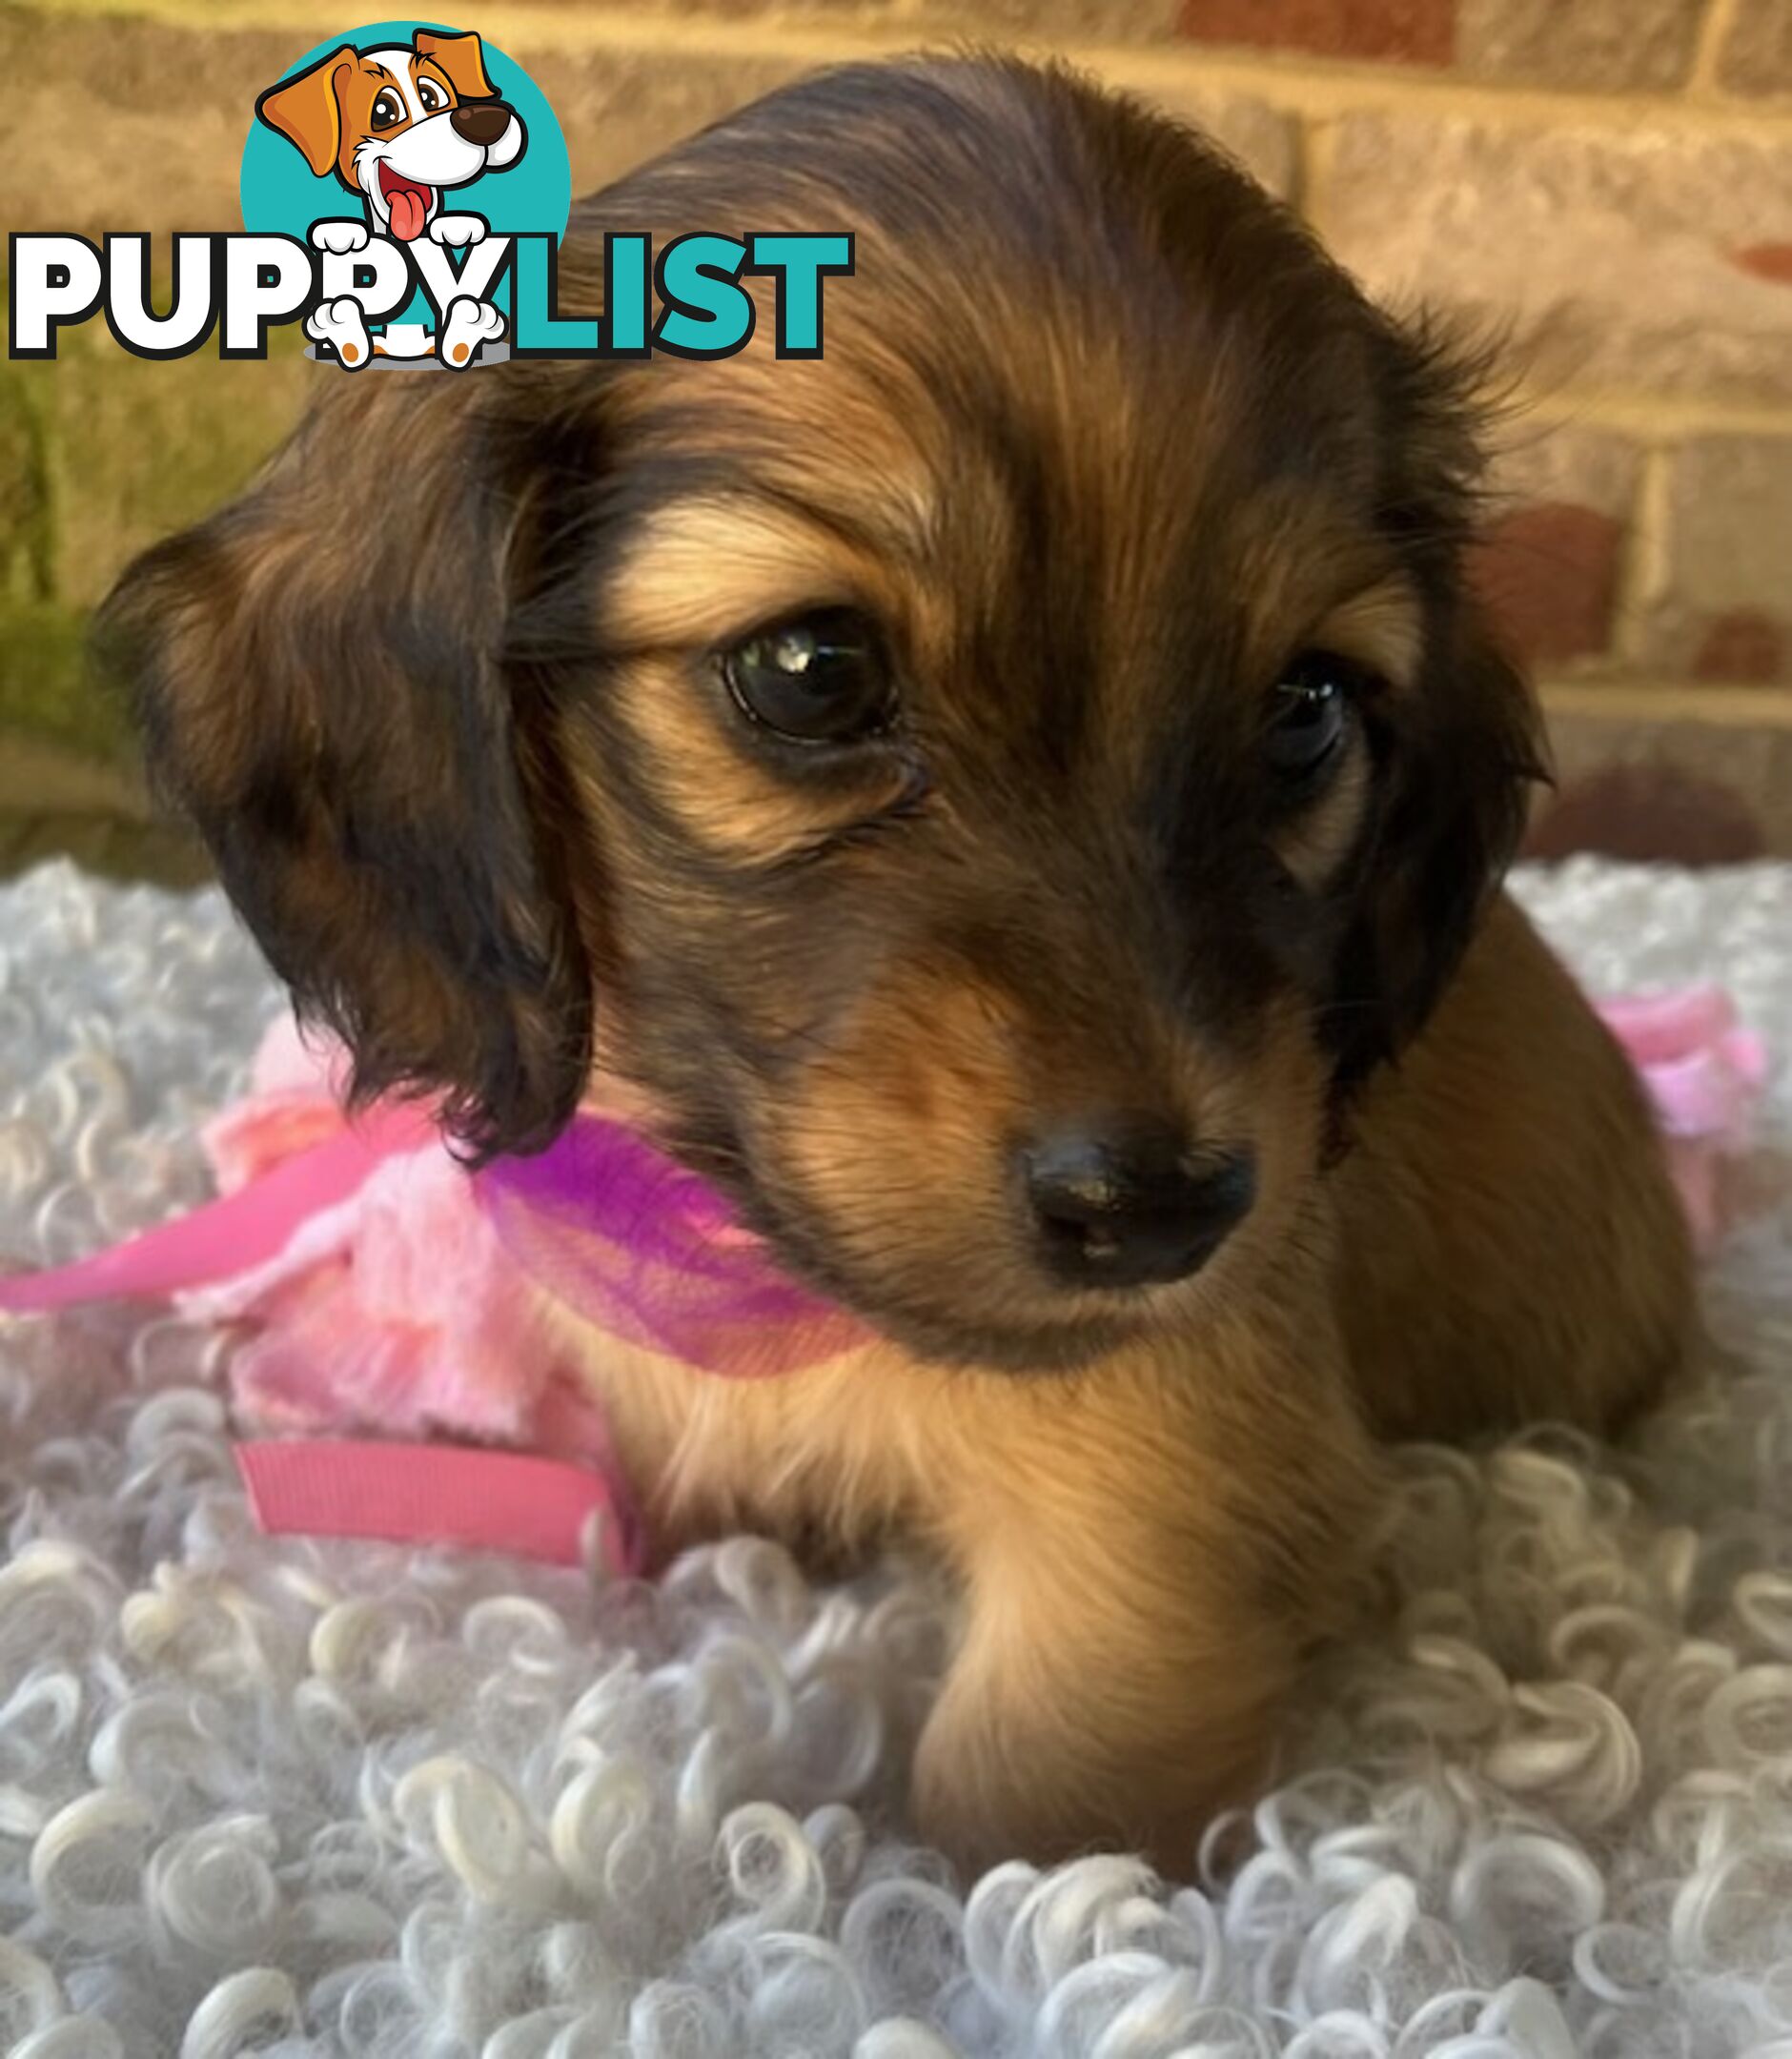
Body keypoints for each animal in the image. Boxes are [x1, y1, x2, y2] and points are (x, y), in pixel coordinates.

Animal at [101, 56, 1697, 1877]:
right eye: (810, 670)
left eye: (1307, 711)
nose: (1161, 1214)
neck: (769, 1271)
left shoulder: (1160, 1513)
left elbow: (1022, 1803)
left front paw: (966, 1909)